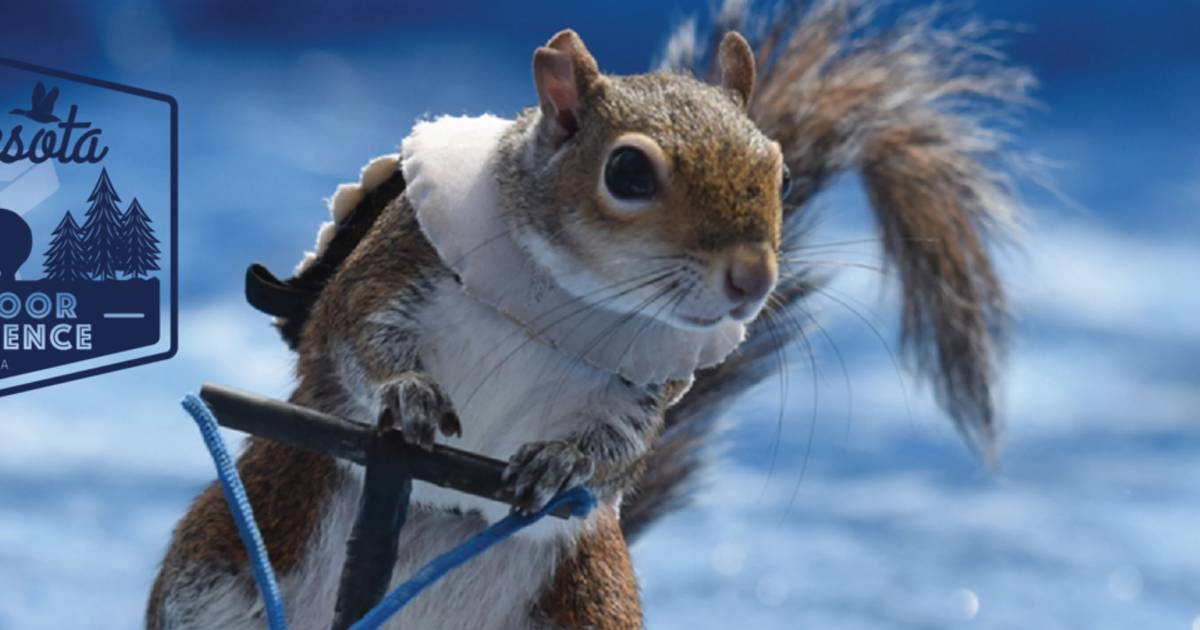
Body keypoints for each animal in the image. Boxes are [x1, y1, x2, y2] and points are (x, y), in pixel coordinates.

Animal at [145, 2, 1027, 624]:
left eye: (777, 171)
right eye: (628, 172)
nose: (751, 279)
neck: (570, 296)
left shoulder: (647, 382)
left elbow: (621, 446)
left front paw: (562, 462)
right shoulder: (393, 272)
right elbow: (358, 340)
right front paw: (410, 395)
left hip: (587, 601)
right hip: (225, 560)